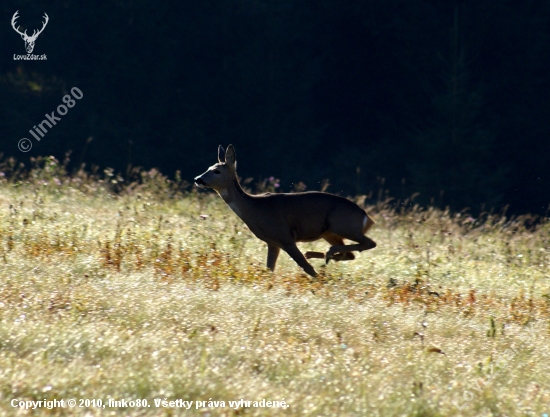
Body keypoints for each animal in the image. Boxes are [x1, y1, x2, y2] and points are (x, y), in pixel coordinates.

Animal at [193, 144, 376, 276]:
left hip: (343, 226)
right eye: (208, 167)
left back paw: (326, 254)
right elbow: (269, 269)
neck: (254, 208)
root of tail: (366, 217)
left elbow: (307, 268)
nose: (198, 179)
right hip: (330, 233)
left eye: (217, 171)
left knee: (369, 243)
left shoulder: (285, 237)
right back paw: (321, 254)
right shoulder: (272, 242)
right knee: (352, 253)